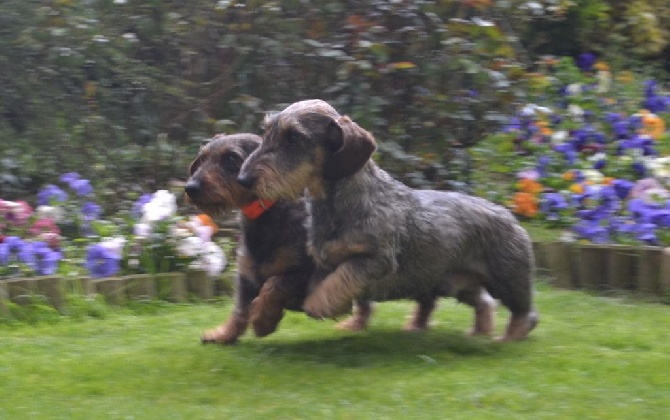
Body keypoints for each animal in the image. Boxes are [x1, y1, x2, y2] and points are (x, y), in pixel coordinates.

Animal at [186, 135, 318, 344]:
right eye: (202, 158)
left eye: (231, 158)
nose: (190, 188)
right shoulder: (245, 276)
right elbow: (239, 310)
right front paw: (223, 334)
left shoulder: (305, 271)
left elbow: (274, 283)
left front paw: (263, 321)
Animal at [238, 99, 540, 342]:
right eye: (266, 132)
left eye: (293, 137)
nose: (243, 179)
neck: (341, 203)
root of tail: (509, 215)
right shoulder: (321, 264)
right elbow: (276, 284)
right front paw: (262, 317)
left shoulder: (375, 260)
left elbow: (340, 279)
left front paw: (320, 305)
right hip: (457, 282)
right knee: (483, 303)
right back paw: (478, 333)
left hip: (508, 281)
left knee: (526, 313)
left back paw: (507, 338)